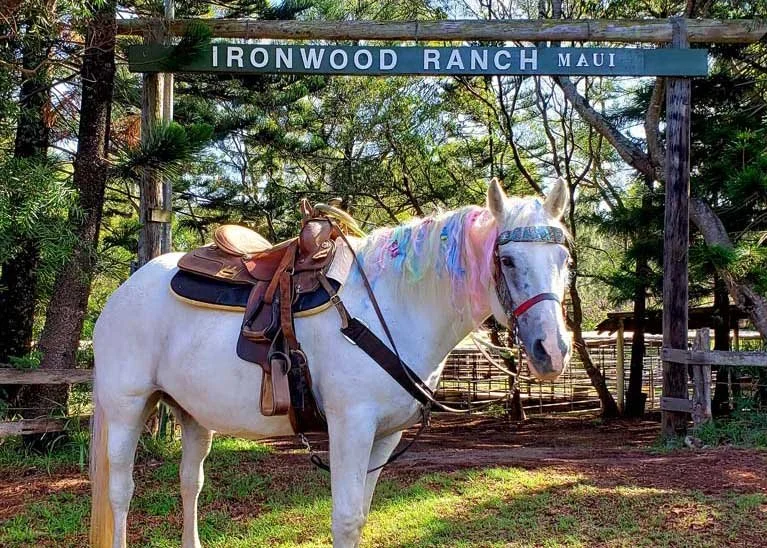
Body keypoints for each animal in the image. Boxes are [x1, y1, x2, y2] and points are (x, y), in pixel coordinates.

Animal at [89, 178, 572, 548]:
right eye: (507, 260)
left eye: (564, 258)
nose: (552, 349)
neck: (391, 307)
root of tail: (121, 294)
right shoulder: (350, 427)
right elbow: (344, 519)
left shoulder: (385, 436)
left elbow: (360, 515)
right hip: (128, 406)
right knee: (121, 491)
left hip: (193, 415)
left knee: (190, 482)